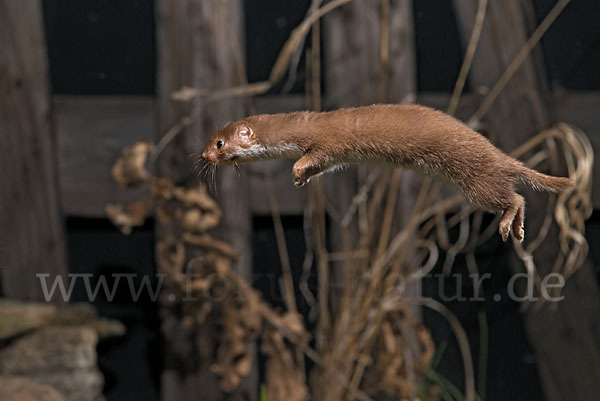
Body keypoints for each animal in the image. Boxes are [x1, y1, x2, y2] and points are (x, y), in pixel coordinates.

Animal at [202, 104, 572, 241]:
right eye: (209, 139)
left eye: (219, 143)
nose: (204, 155)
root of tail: (501, 155)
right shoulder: (334, 158)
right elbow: (321, 165)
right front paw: (301, 178)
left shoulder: (329, 142)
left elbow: (316, 155)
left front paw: (296, 170)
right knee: (520, 196)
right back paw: (519, 229)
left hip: (478, 180)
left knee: (512, 197)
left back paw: (508, 224)